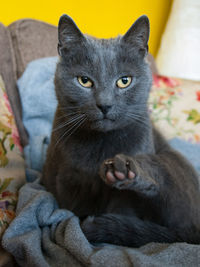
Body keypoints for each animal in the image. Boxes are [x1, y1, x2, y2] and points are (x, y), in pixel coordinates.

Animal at [41, 14, 200, 249]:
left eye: (124, 81)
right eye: (84, 81)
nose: (105, 105)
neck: (100, 144)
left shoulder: (124, 198)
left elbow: (123, 207)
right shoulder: (66, 179)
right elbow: (72, 207)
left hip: (174, 165)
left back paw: (124, 169)